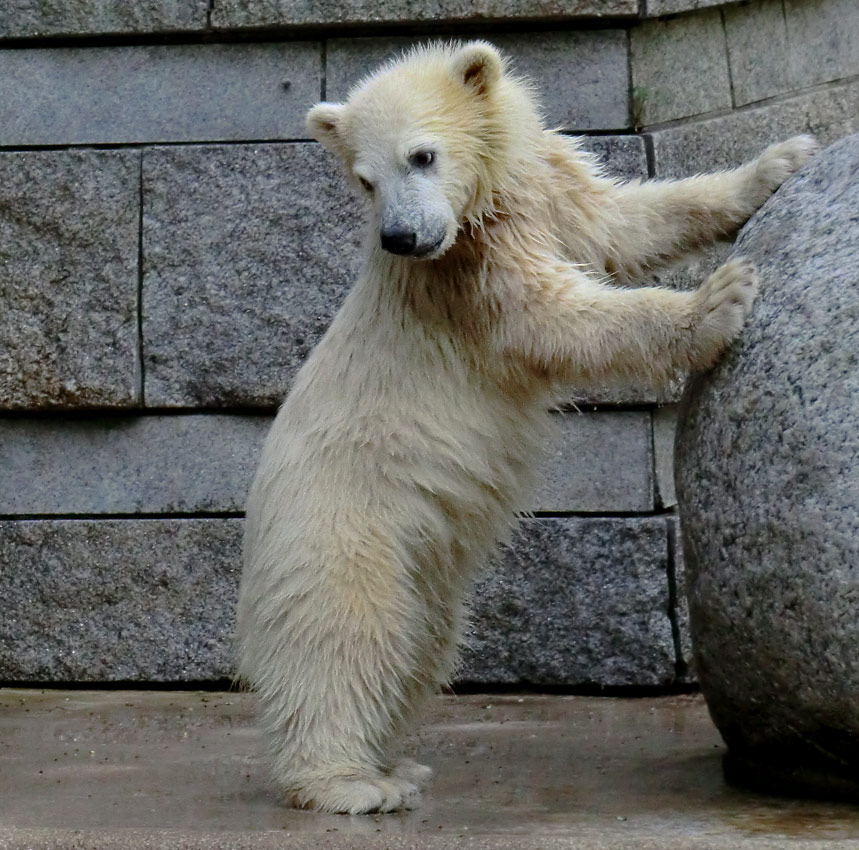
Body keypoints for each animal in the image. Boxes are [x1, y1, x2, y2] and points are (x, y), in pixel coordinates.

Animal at [237, 41, 820, 816]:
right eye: (364, 179)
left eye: (421, 155)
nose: (400, 237)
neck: (477, 214)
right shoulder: (469, 280)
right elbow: (558, 318)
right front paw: (717, 300)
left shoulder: (546, 197)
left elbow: (627, 224)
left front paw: (781, 161)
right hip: (343, 531)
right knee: (345, 639)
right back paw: (352, 784)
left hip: (417, 559)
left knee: (417, 644)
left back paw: (398, 763)